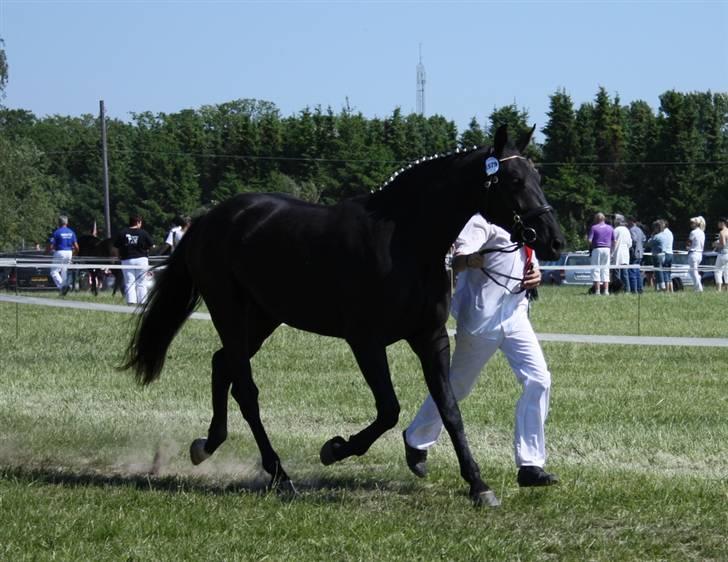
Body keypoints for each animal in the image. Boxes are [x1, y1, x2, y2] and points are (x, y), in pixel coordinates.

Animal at [122, 124, 564, 506]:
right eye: (514, 180)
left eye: (536, 176)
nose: (553, 239)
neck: (404, 240)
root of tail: (210, 219)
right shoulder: (365, 341)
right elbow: (388, 409)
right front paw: (334, 449)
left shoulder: (430, 336)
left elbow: (449, 408)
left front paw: (478, 485)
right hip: (228, 309)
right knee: (245, 388)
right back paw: (279, 474)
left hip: (264, 316)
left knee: (222, 365)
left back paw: (207, 445)